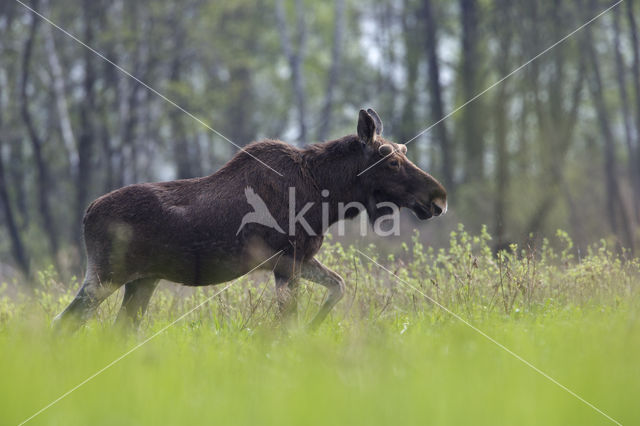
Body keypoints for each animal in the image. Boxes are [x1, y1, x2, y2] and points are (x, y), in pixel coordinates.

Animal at [53, 109, 444, 330]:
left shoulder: (302, 258)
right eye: (390, 160)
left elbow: (339, 286)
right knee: (64, 322)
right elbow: (288, 320)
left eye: (403, 152)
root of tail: (86, 213)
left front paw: (315, 327)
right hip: (106, 276)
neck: (328, 195)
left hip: (142, 280)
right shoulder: (288, 261)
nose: (438, 198)